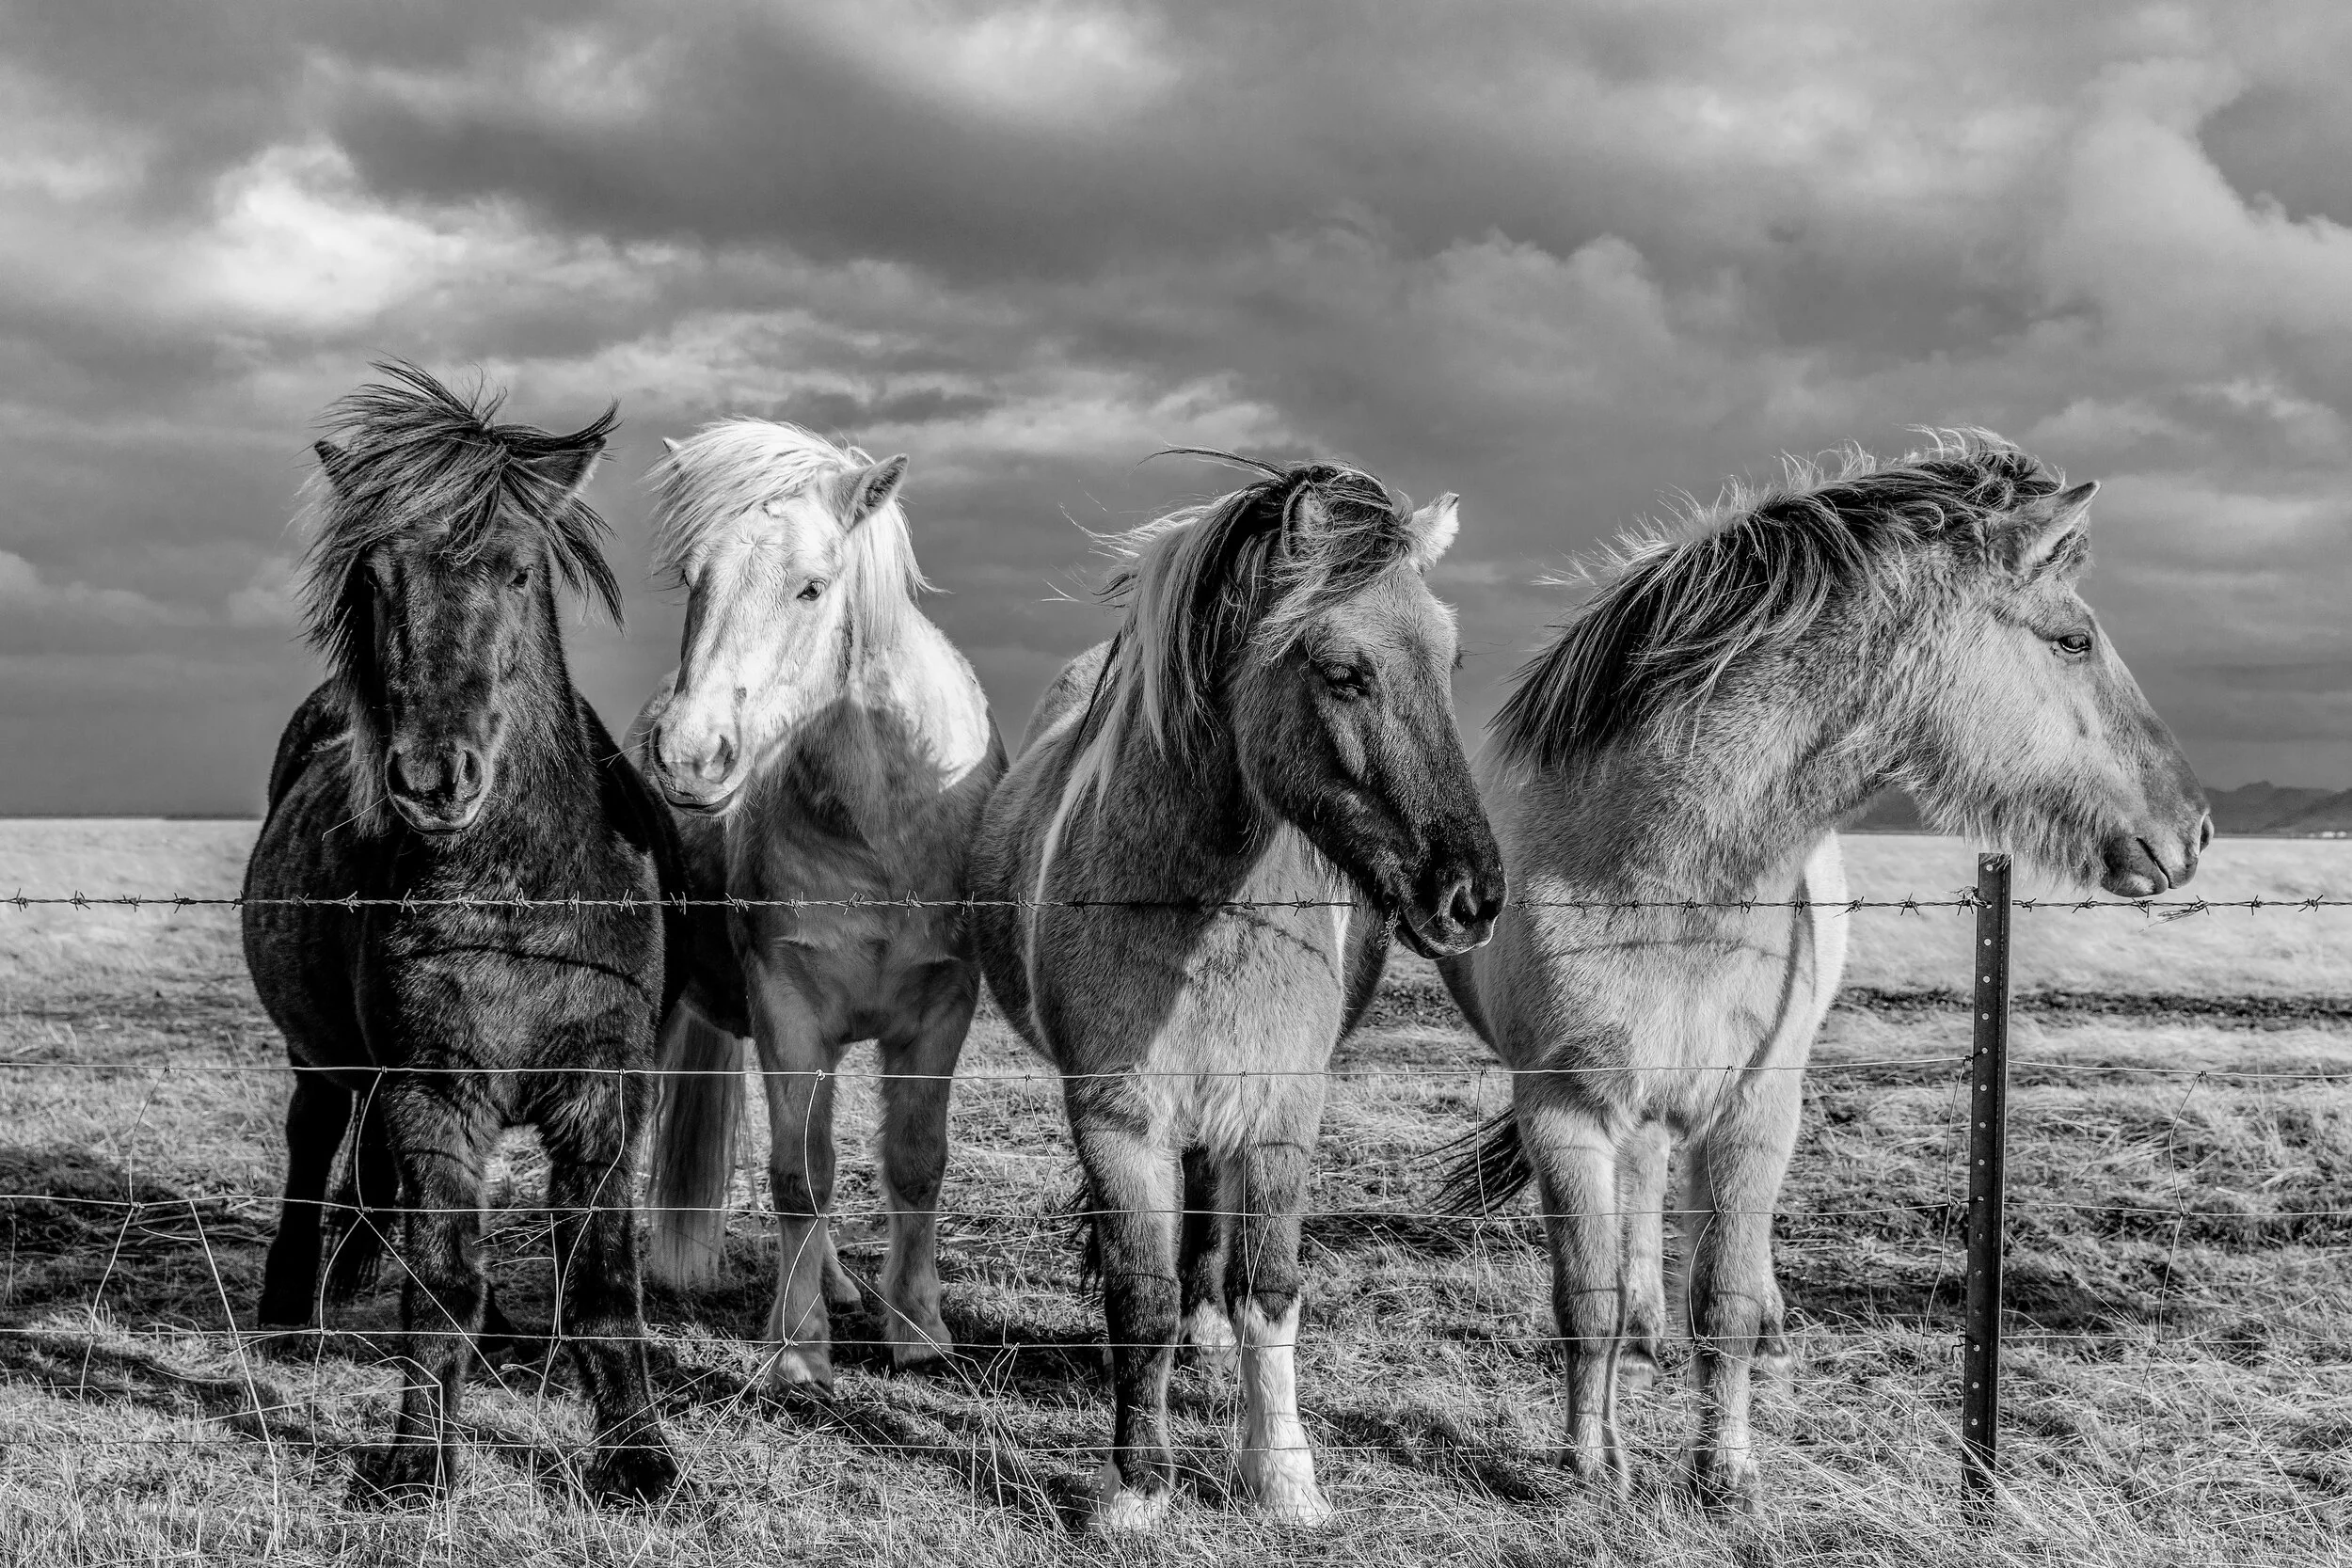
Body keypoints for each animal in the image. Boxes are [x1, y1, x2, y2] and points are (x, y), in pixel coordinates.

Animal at [242, 363, 683, 1507]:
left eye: (519, 571)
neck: (515, 908)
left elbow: (602, 1283)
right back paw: (286, 1310)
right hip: (325, 1059)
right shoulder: (432, 1093)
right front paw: (414, 1462)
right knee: (315, 1141)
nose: (434, 778)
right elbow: (441, 1281)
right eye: (373, 577)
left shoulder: (604, 1096)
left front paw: (638, 1456)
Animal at [627, 419, 1004, 1389]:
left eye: (812, 586)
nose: (690, 756)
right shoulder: (787, 1005)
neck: (878, 832)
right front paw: (798, 1347)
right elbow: (800, 1173)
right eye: (693, 579)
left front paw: (916, 1326)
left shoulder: (942, 1007)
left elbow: (915, 1163)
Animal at [971, 456, 1506, 1530]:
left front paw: (1284, 1476)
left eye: (1450, 660)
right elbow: (1136, 1294)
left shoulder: (1280, 1111)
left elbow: (1272, 1286)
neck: (1198, 908)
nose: (1471, 896)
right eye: (1342, 671)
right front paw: (1137, 1488)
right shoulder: (1116, 1119)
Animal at [1435, 432, 2211, 1511]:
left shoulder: (1758, 1104)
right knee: (1636, 1234)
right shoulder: (1562, 1108)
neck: (1657, 874)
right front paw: (1591, 1465)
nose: (2192, 831)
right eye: (2071, 642)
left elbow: (1721, 1294)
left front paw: (1723, 1471)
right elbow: (1586, 1295)